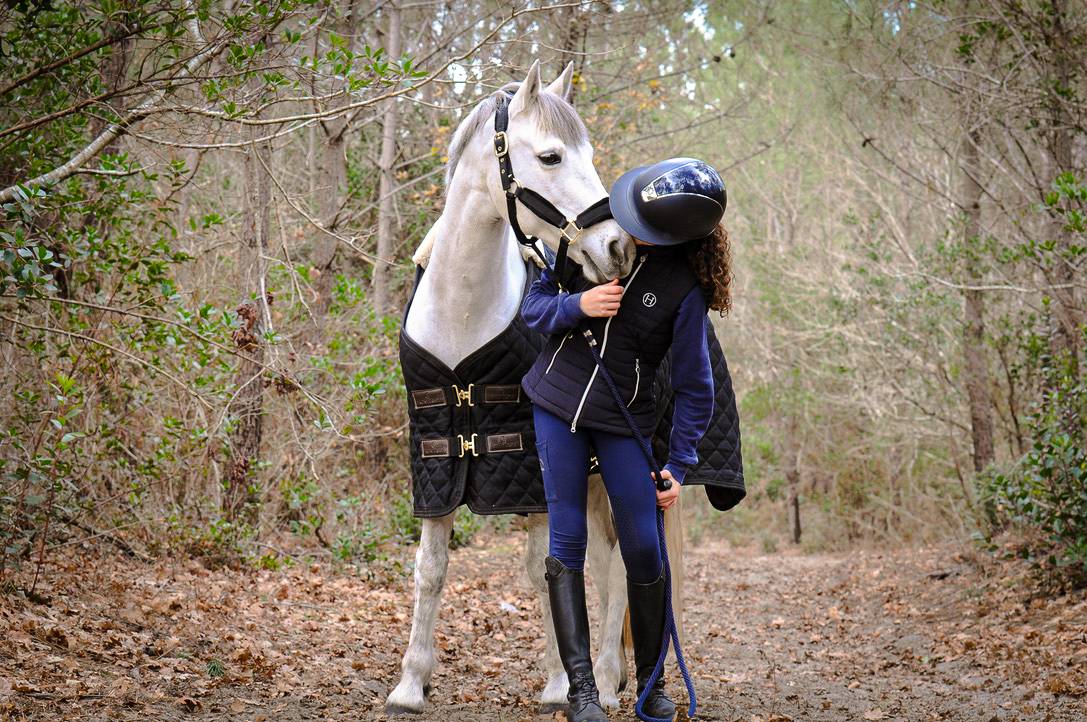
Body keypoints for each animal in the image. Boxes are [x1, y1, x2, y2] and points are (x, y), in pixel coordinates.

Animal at [386, 60, 687, 715]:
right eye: (551, 156)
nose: (617, 249)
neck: (462, 316)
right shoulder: (436, 458)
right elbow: (431, 567)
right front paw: (411, 683)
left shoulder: (531, 471)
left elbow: (539, 564)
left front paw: (557, 683)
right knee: (606, 561)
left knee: (623, 564)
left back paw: (606, 679)